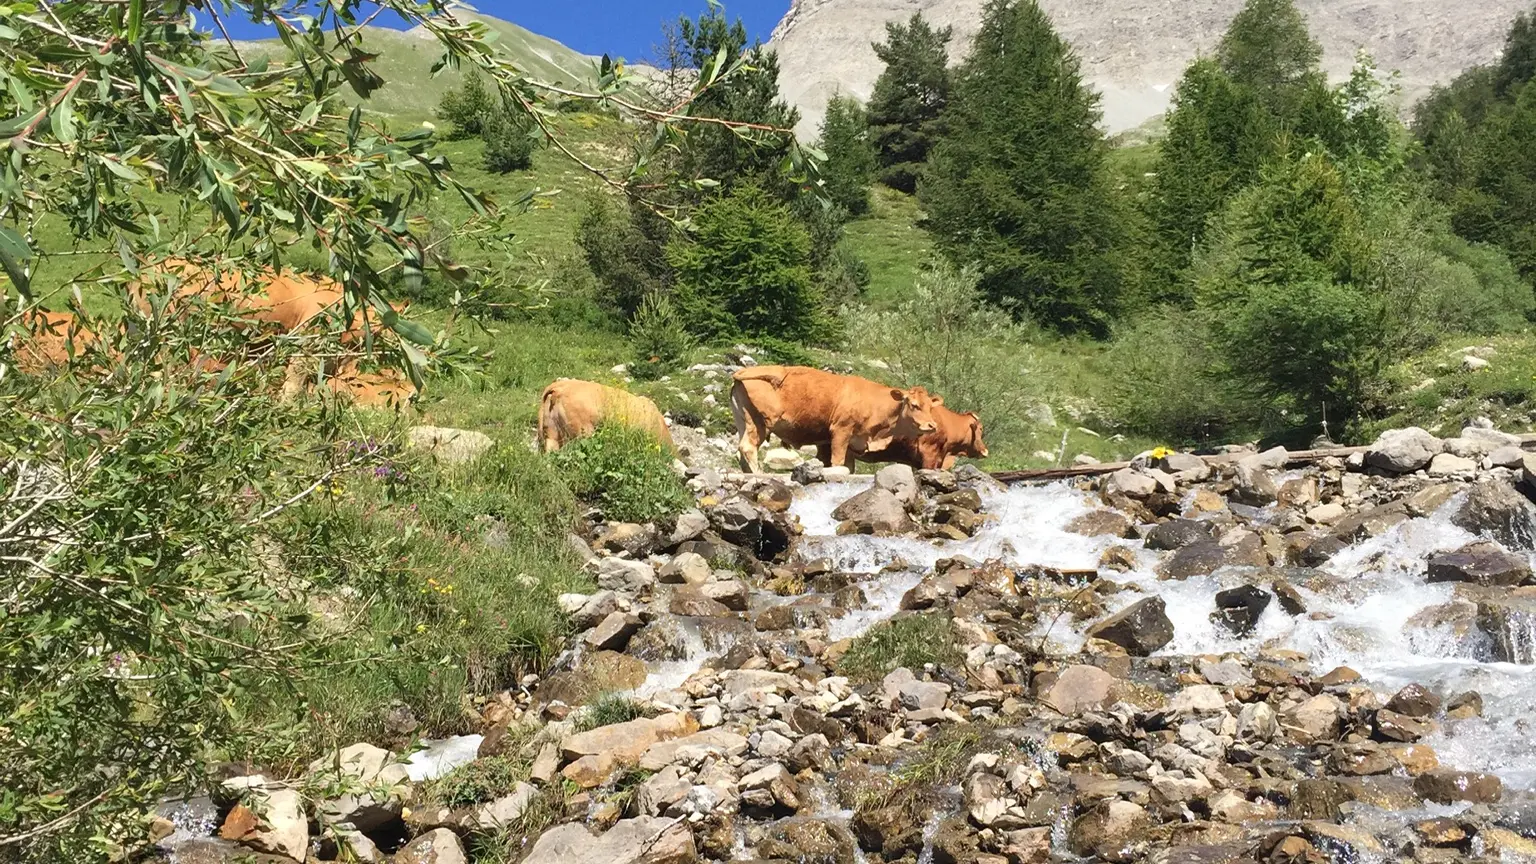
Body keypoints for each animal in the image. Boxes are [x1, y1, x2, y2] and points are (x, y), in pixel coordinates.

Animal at [728, 362, 933, 470]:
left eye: (931, 406)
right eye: (914, 405)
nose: (932, 425)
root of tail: (745, 371)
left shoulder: (850, 443)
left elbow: (848, 467)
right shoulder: (841, 431)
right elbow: (837, 463)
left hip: (743, 421)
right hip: (758, 422)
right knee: (748, 447)